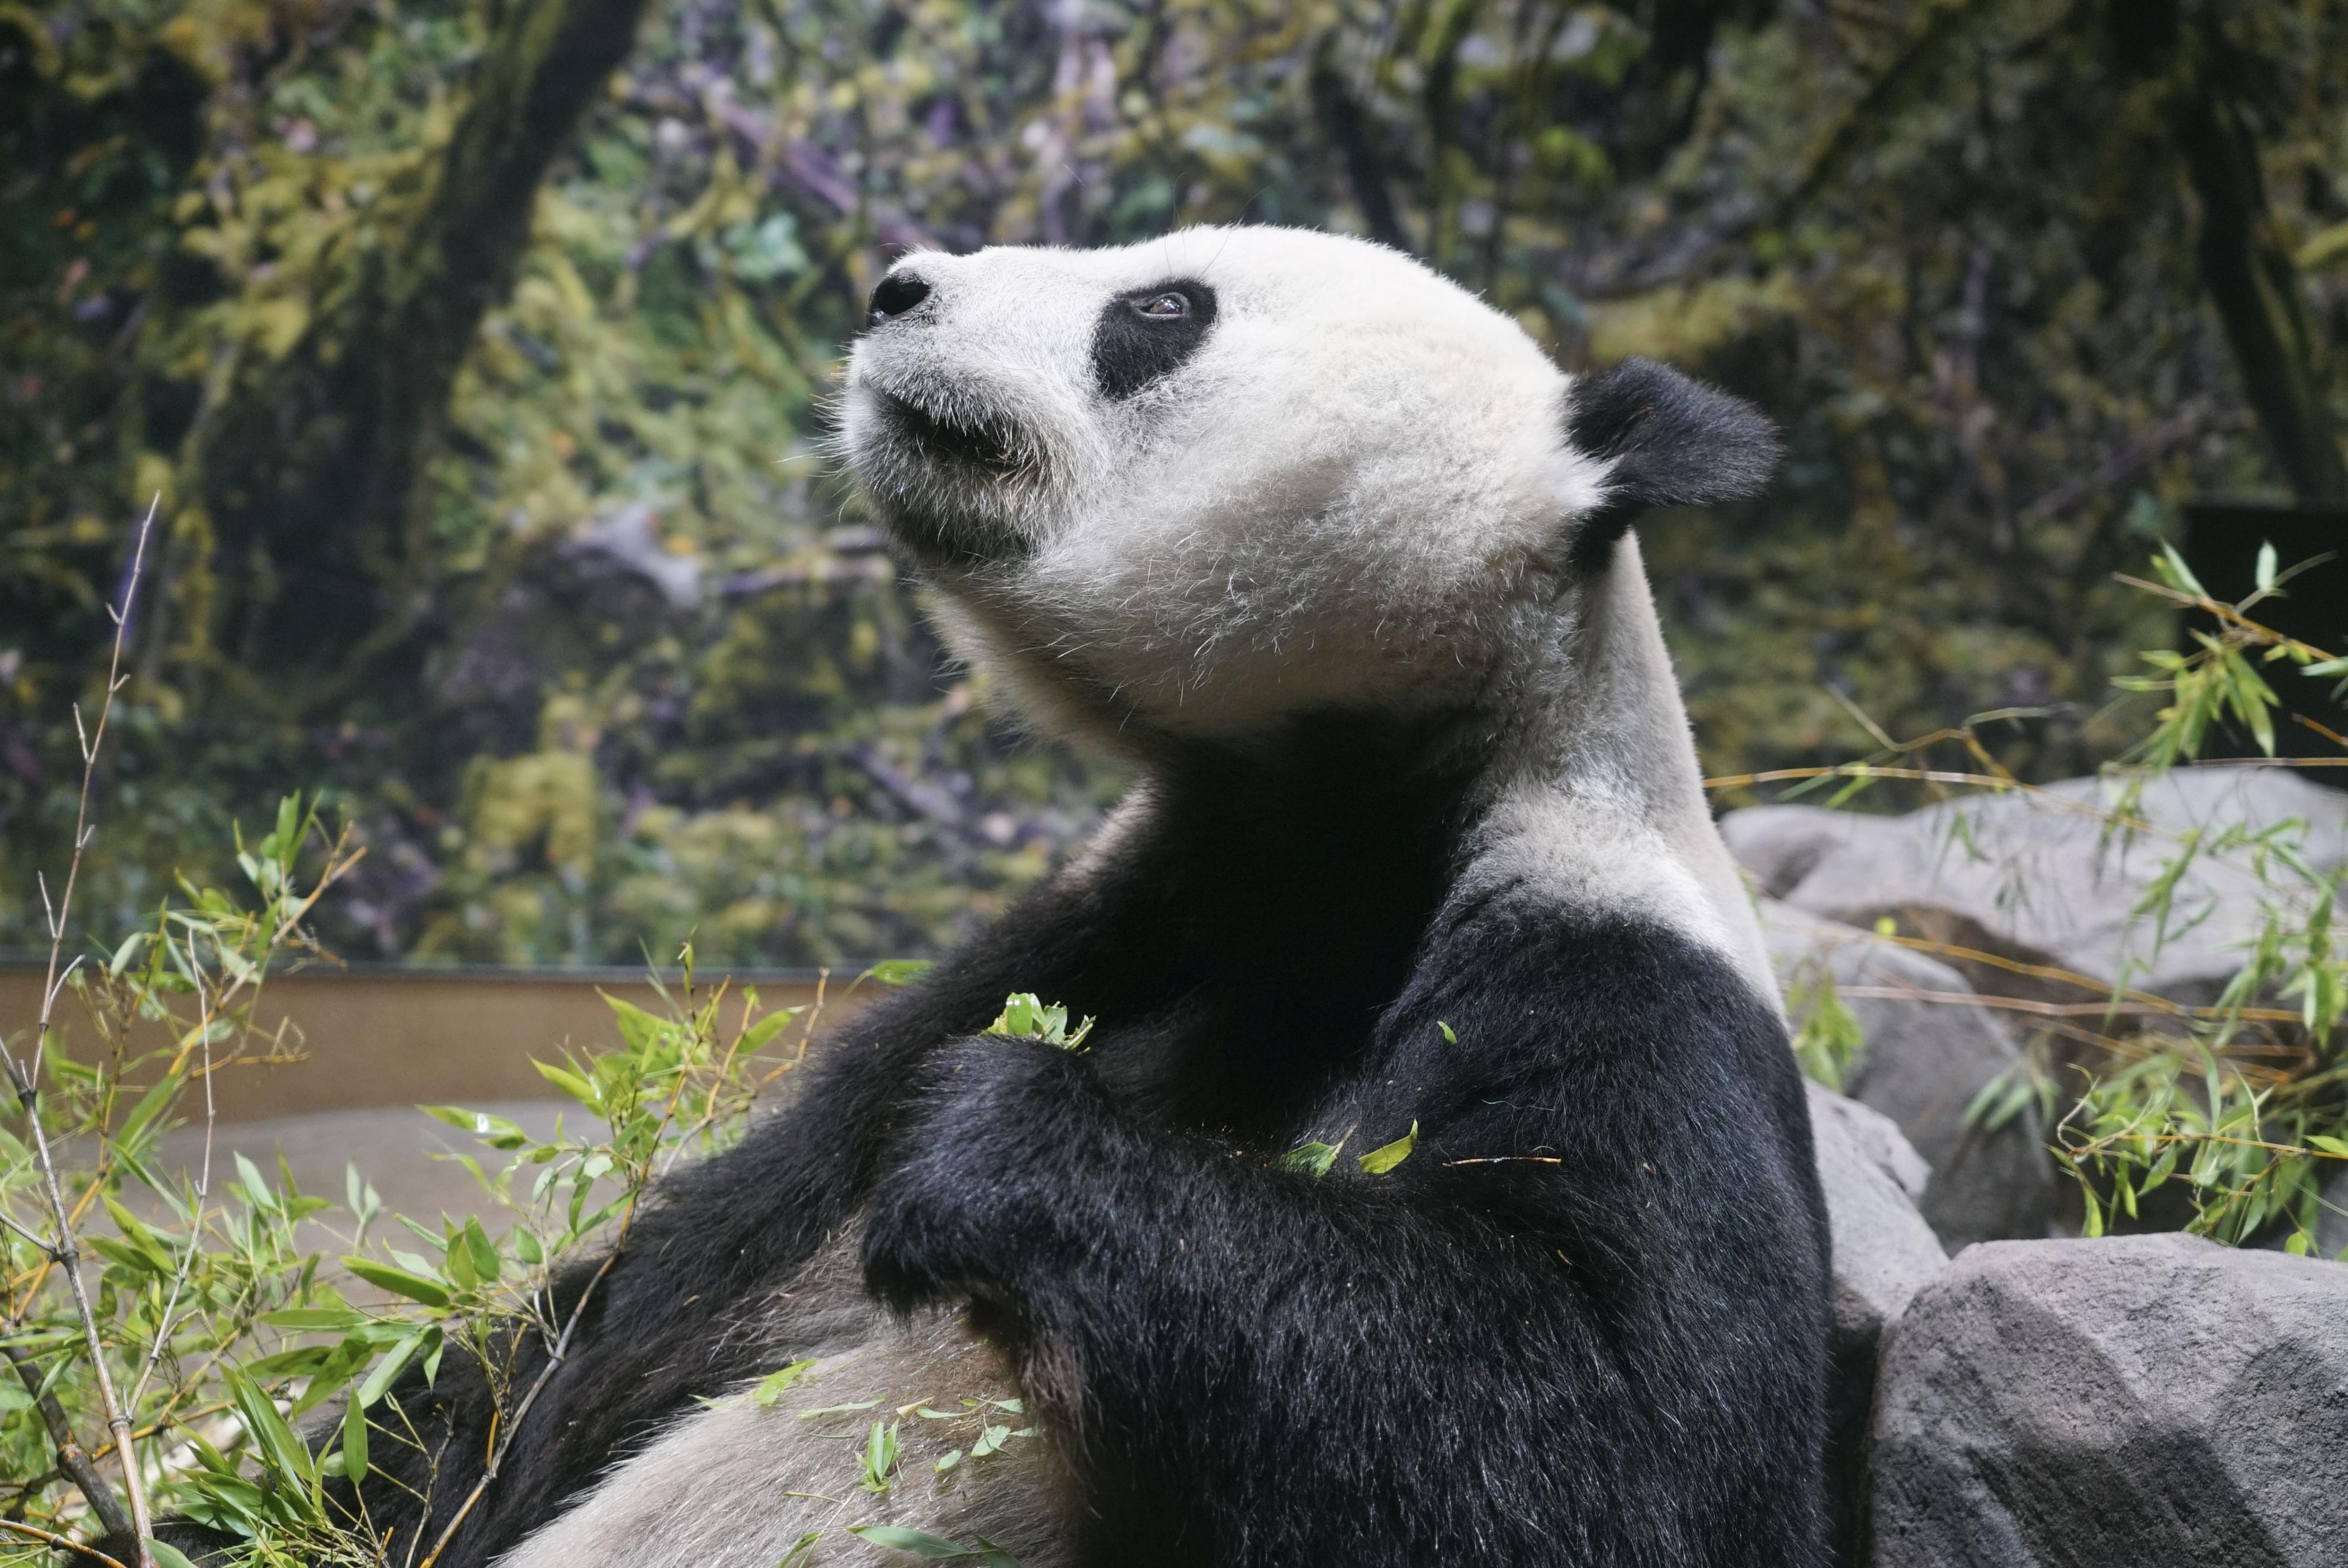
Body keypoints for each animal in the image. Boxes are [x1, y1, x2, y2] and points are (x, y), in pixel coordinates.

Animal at [165, 226, 1831, 1568]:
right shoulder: (1129, 915)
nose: (893, 286)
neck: (1354, 802)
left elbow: (1619, 1439)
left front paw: (996, 1138)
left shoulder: (1615, 968)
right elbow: (594, 1337)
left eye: (1159, 307)